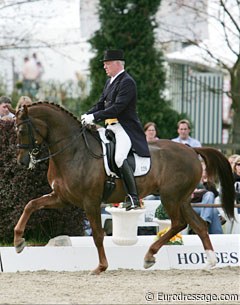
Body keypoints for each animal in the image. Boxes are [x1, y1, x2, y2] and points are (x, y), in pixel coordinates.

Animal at [14, 102, 234, 274]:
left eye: (22, 131)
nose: (22, 161)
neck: (73, 151)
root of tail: (191, 149)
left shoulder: (90, 202)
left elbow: (98, 234)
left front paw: (101, 267)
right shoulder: (62, 197)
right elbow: (31, 205)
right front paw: (18, 242)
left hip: (170, 197)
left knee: (178, 224)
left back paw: (149, 256)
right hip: (182, 199)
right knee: (199, 225)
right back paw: (210, 262)